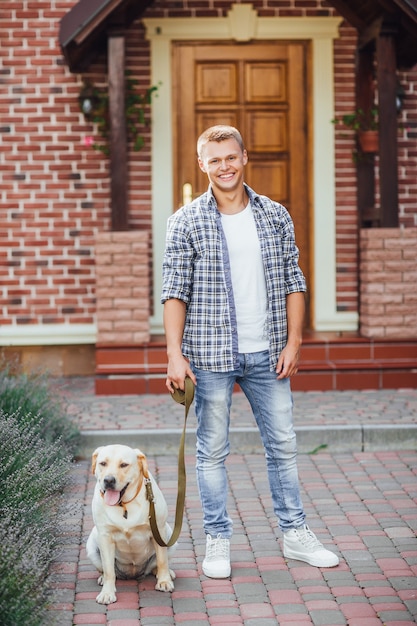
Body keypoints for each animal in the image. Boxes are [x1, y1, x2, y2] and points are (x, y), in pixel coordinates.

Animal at [86, 442, 176, 604]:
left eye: (124, 464)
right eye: (103, 463)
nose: (109, 480)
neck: (124, 505)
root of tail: (133, 573)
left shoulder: (158, 530)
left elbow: (162, 560)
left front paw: (164, 581)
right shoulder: (105, 537)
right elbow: (109, 571)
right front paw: (107, 593)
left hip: (169, 537)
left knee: (158, 563)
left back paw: (166, 574)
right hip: (91, 547)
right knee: (107, 570)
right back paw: (102, 578)